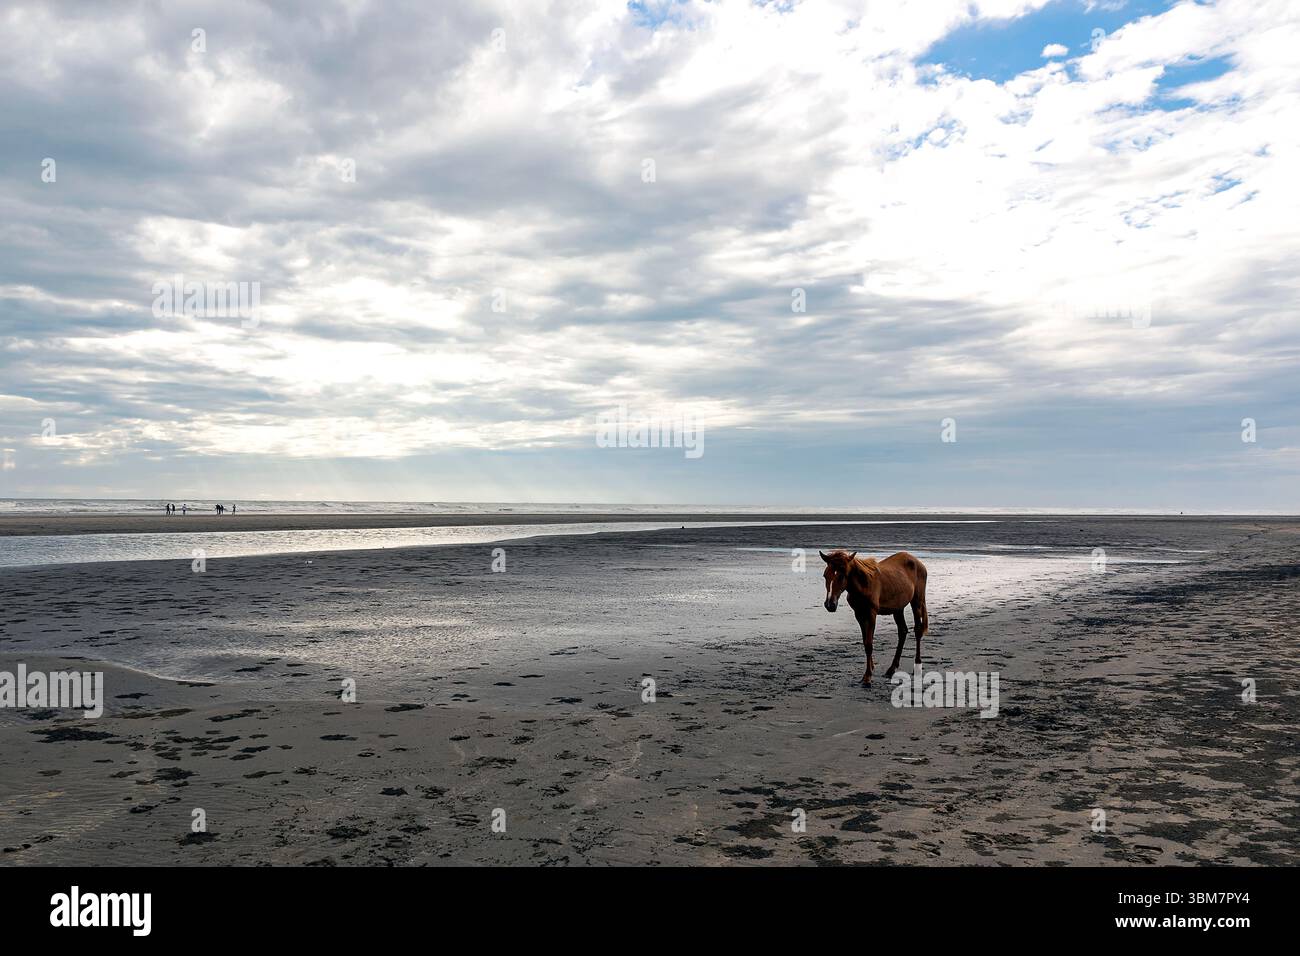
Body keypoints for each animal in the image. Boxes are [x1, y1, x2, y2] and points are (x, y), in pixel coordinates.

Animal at [820, 549, 929, 684]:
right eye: (825, 575)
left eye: (842, 575)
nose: (830, 604)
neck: (864, 584)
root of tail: (919, 563)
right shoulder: (859, 614)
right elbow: (865, 641)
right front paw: (870, 668)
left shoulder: (871, 614)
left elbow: (869, 644)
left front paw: (867, 676)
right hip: (898, 609)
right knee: (903, 631)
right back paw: (891, 669)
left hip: (917, 602)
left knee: (918, 631)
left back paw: (917, 665)